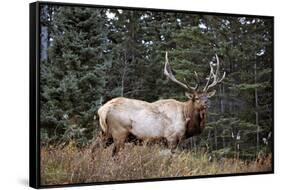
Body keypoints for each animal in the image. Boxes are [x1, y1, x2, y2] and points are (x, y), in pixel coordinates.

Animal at [92, 52, 225, 156]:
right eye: (196, 98)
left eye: (207, 96)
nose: (207, 102)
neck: (186, 120)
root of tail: (103, 110)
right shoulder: (172, 138)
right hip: (119, 132)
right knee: (114, 154)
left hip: (105, 133)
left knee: (94, 148)